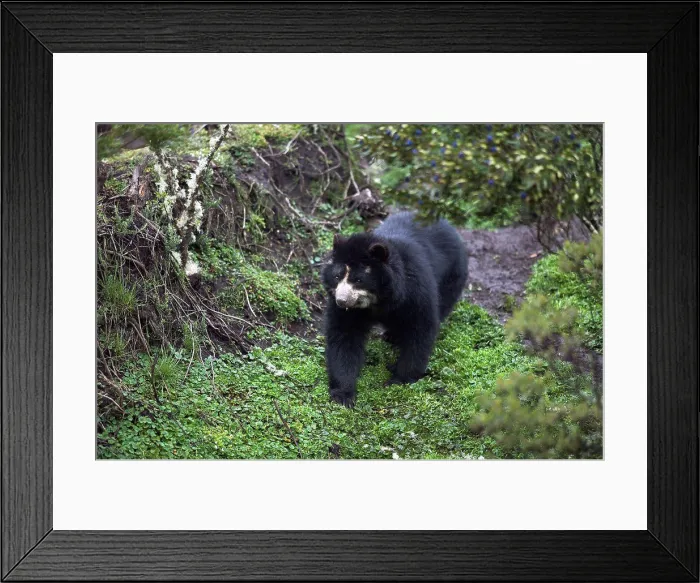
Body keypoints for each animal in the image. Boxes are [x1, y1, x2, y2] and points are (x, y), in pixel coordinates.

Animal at [322, 211, 468, 407]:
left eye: (358, 279)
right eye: (337, 276)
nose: (342, 301)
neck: (378, 301)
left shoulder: (415, 291)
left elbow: (421, 329)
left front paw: (399, 380)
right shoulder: (350, 313)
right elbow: (344, 336)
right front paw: (343, 394)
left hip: (451, 276)